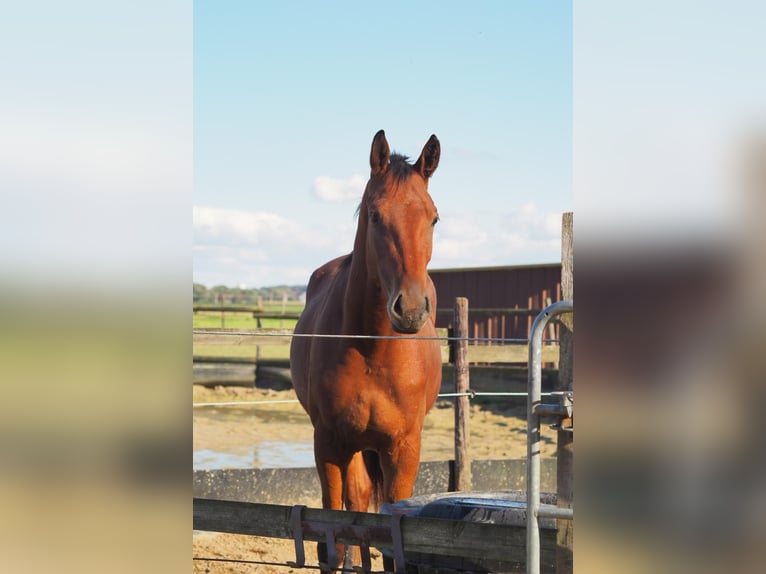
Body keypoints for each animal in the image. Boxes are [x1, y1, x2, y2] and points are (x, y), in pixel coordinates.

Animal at [290, 130, 444, 572]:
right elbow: (333, 535)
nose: (410, 309)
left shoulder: (403, 450)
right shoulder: (328, 443)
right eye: (375, 215)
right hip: (352, 446)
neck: (373, 351)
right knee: (356, 502)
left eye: (433, 218)